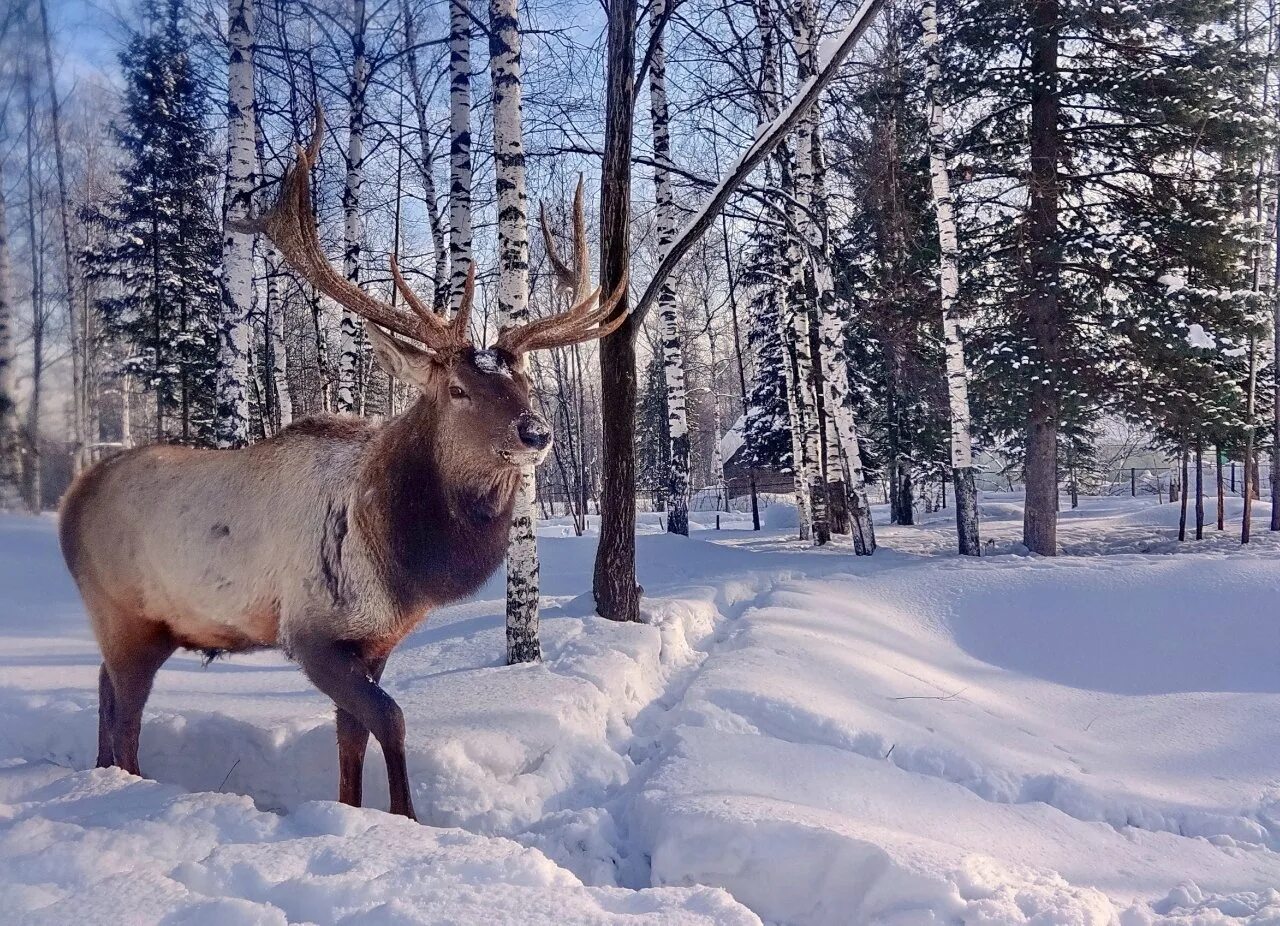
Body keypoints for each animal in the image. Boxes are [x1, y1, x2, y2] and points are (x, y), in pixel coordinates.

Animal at [60, 113, 629, 819]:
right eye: (458, 389)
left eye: (525, 380)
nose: (537, 431)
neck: (402, 561)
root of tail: (72, 500)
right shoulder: (310, 631)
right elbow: (391, 719)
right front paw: (406, 816)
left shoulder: (374, 640)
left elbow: (349, 736)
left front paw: (353, 810)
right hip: (121, 612)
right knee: (127, 714)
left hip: (144, 624)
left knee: (104, 692)